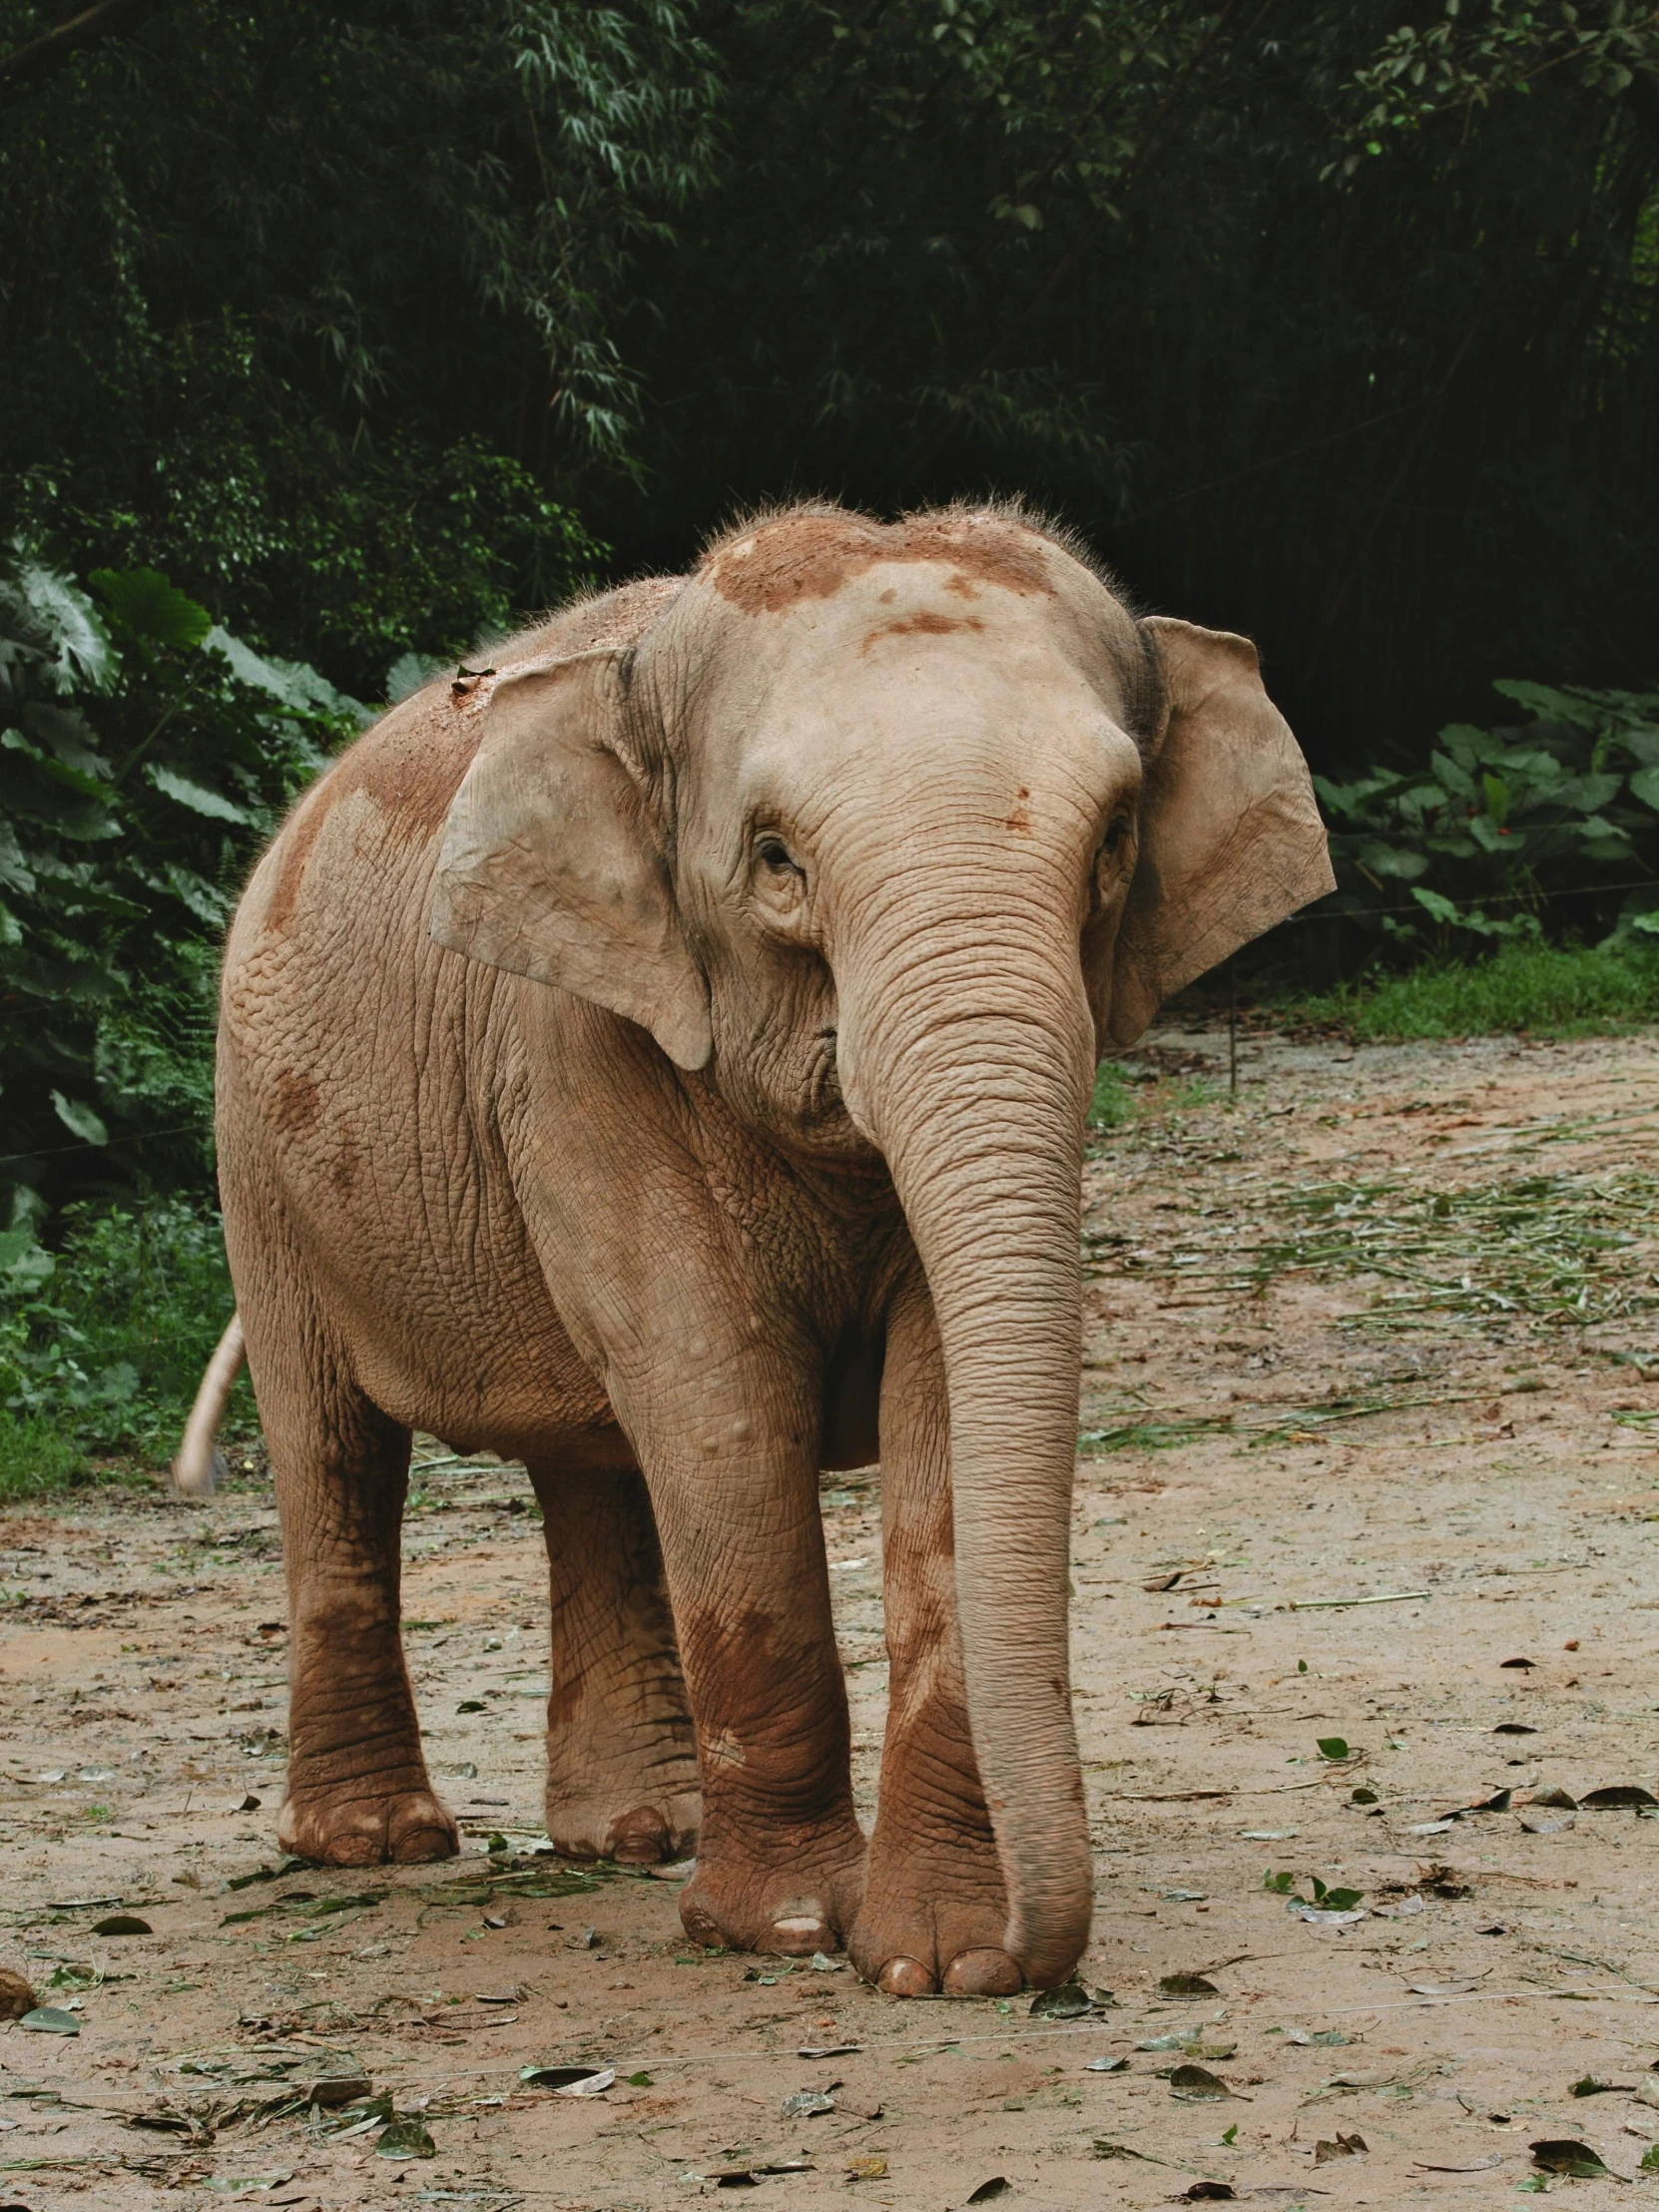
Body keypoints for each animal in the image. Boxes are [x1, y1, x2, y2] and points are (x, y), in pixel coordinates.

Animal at [201, 497, 1336, 1990]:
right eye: (777, 859)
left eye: (1113, 840)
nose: (1029, 1959)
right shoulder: (574, 1039)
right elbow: (719, 1393)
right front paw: (790, 1928)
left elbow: (937, 1398)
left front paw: (928, 1956)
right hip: (257, 1160)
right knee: (331, 1450)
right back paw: (376, 1844)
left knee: (590, 1468)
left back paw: (642, 1832)